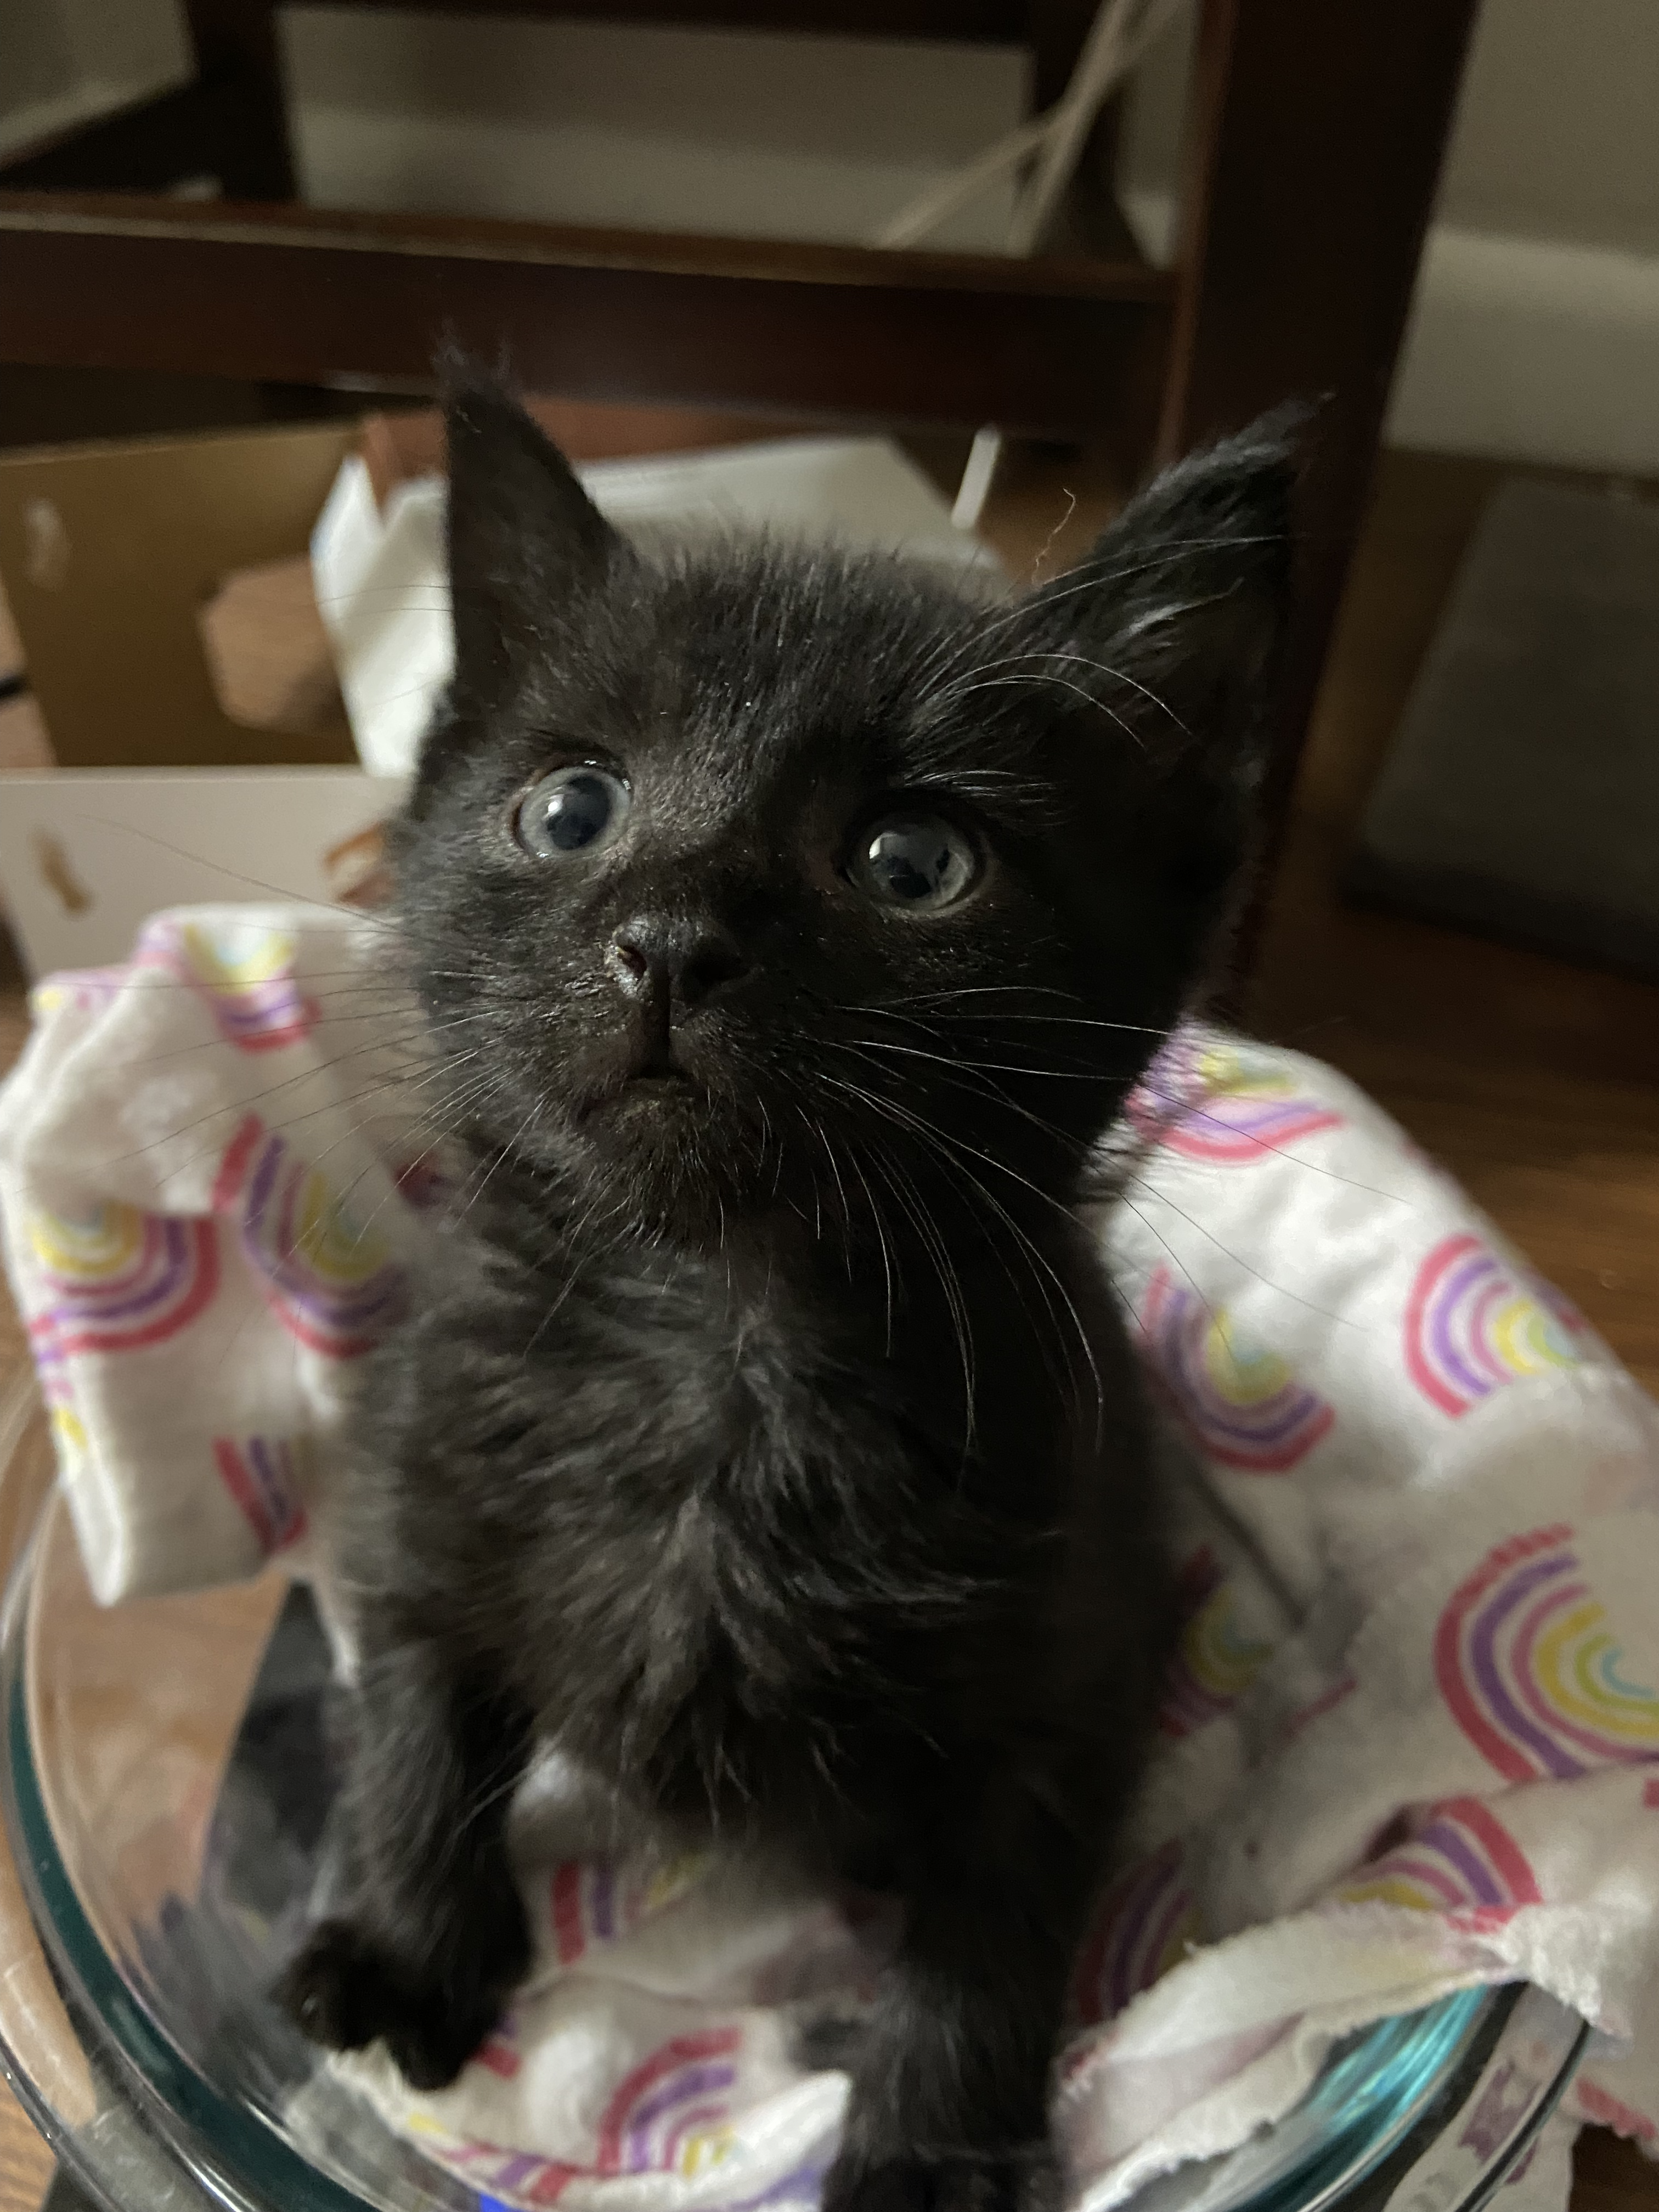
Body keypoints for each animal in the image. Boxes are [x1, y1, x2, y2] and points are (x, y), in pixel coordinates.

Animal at [283, 385, 1300, 2212]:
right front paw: (405, 1946)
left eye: (915, 860)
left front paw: (934, 2145)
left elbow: (995, 1925)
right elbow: (413, 1734)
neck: (724, 1342)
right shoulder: (416, 1494)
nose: (668, 936)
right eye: (571, 810)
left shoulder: (1073, 1664)